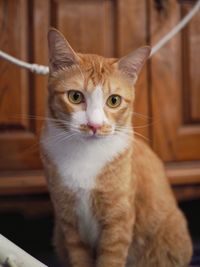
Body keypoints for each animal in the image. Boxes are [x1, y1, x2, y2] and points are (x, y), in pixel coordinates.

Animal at [40, 28, 192, 266]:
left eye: (114, 100)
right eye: (75, 96)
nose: (94, 125)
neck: (85, 156)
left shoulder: (118, 223)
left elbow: (111, 258)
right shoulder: (69, 223)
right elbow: (79, 257)